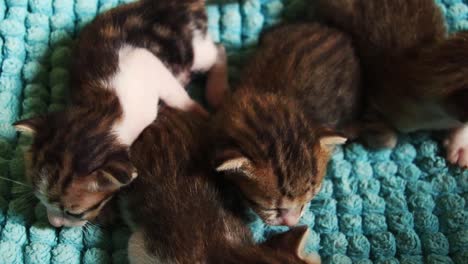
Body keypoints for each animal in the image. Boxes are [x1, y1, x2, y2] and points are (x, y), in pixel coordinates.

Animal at [12, 0, 229, 227]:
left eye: (75, 213)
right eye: (39, 199)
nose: (54, 224)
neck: (102, 112)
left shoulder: (145, 60)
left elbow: (176, 96)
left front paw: (200, 113)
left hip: (196, 49)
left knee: (218, 50)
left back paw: (215, 92)